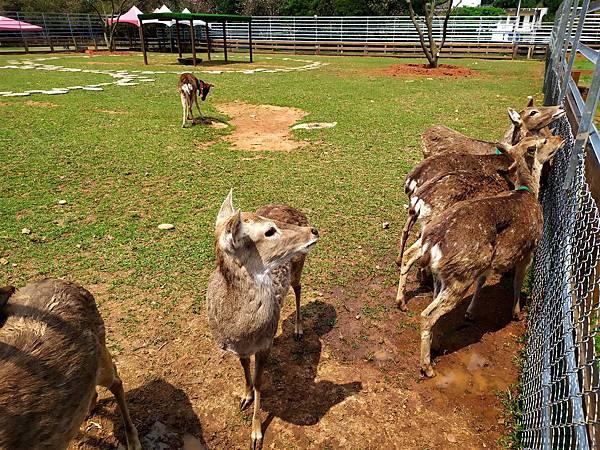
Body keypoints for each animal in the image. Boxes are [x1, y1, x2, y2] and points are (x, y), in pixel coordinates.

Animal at [206, 188, 318, 448]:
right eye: (269, 231)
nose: (314, 230)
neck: (240, 331)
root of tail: (292, 207)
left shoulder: (266, 343)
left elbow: (259, 382)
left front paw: (256, 434)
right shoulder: (238, 349)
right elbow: (244, 368)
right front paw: (244, 396)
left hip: (299, 264)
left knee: (298, 287)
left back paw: (298, 330)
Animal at [398, 135, 564, 378]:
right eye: (543, 141)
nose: (560, 138)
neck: (526, 191)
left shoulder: (489, 263)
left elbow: (482, 281)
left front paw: (471, 313)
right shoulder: (529, 249)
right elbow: (517, 282)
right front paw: (516, 313)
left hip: (443, 266)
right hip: (459, 276)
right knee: (427, 313)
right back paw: (427, 368)